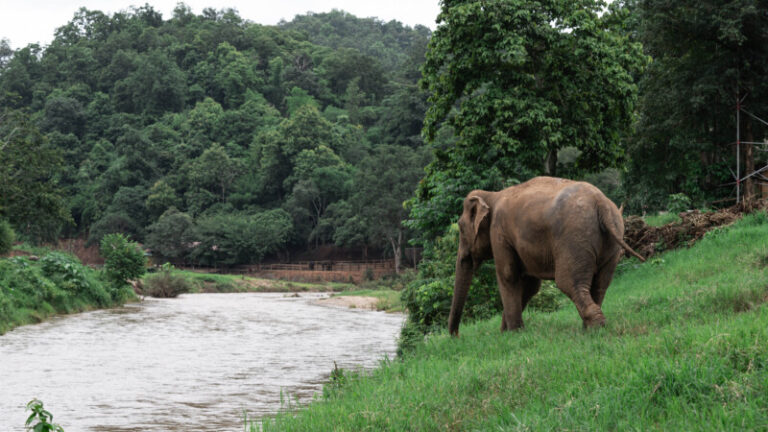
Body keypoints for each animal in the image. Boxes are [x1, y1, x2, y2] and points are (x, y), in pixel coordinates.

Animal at [448, 176, 644, 336]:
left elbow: (508, 276)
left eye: (461, 228)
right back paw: (590, 327)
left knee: (568, 282)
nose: (456, 336)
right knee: (601, 284)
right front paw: (508, 331)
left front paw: (513, 333)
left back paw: (596, 328)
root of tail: (601, 203)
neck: (492, 195)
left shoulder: (499, 232)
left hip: (574, 238)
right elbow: (530, 285)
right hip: (611, 241)